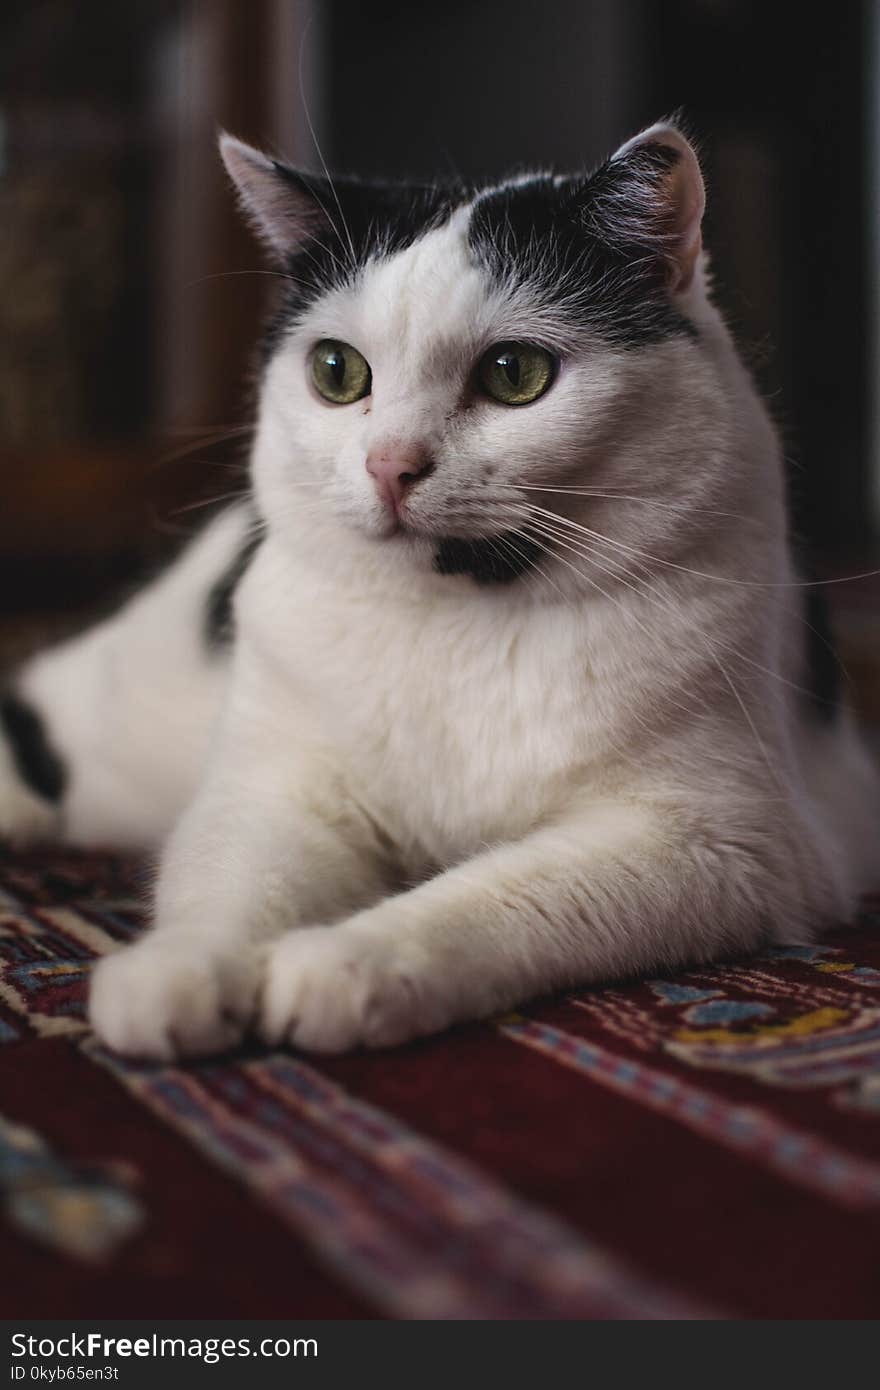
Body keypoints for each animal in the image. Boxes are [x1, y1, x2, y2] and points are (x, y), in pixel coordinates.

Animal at [1, 125, 878, 1056]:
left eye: (515, 371)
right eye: (337, 371)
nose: (391, 464)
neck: (459, 619)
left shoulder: (715, 841)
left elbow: (486, 903)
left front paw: (346, 966)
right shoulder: (275, 787)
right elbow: (230, 877)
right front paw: (179, 973)